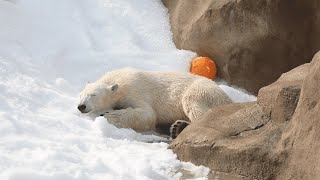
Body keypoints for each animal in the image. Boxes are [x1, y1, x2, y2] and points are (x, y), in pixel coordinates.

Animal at [78, 68, 232, 139]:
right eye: (81, 95)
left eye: (93, 95)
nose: (81, 106)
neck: (119, 80)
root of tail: (229, 99)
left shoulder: (135, 88)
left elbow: (148, 114)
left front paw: (111, 116)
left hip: (203, 91)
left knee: (193, 104)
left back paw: (180, 127)